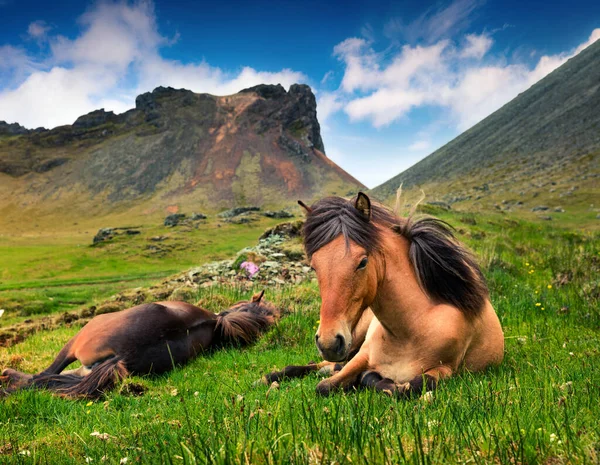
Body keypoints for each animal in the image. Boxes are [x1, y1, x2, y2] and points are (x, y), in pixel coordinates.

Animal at [1, 288, 278, 396]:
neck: (217, 321)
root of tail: (125, 353)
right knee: (48, 378)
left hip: (76, 340)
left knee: (42, 375)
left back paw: (7, 376)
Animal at [262, 192, 502, 396]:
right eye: (314, 267)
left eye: (362, 262)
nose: (328, 342)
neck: (410, 331)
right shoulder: (363, 354)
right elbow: (325, 386)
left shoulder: (446, 370)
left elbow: (407, 386)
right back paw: (270, 376)